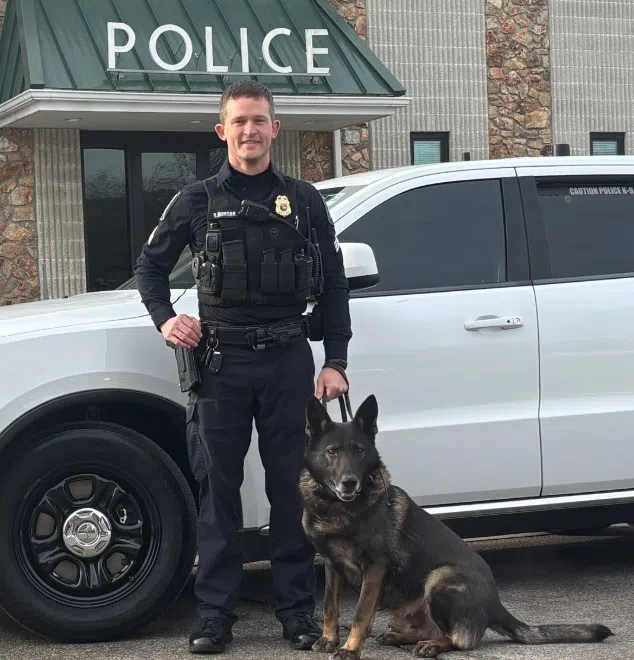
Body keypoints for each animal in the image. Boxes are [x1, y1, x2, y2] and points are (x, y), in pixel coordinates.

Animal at [299, 394, 614, 659]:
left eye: (360, 451)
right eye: (332, 452)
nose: (349, 482)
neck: (336, 507)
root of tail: (495, 604)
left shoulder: (375, 569)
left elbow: (360, 615)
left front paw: (350, 649)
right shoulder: (332, 564)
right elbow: (330, 606)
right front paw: (329, 639)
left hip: (441, 577)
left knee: (459, 639)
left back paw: (431, 646)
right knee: (434, 629)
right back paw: (400, 637)